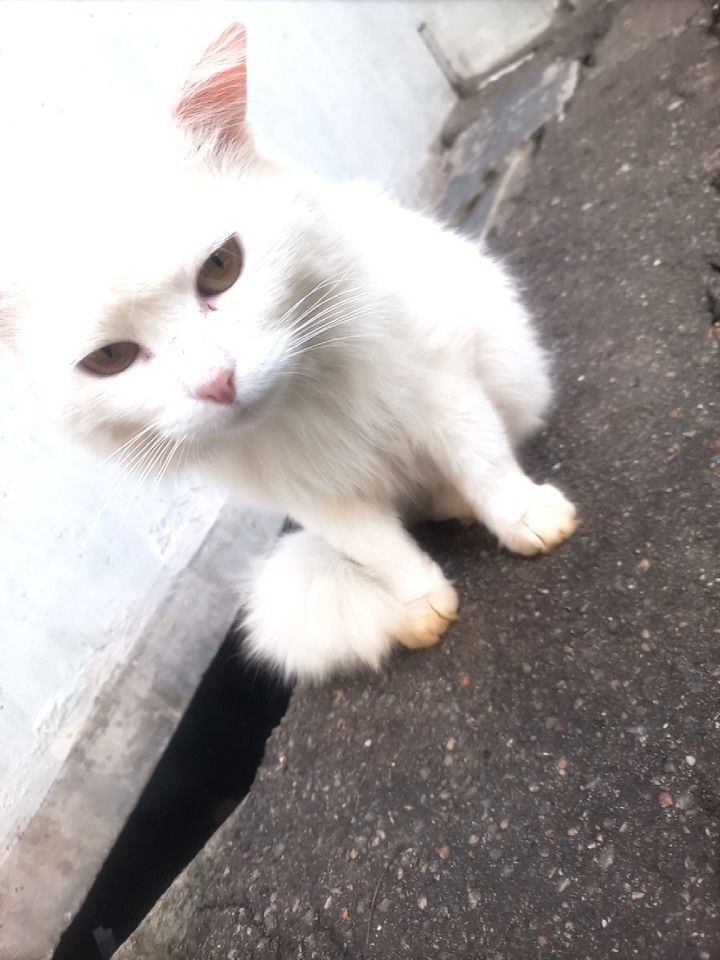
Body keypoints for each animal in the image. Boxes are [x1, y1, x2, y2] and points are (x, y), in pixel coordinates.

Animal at [0, 24, 572, 684]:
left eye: (221, 268)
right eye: (111, 358)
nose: (217, 382)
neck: (301, 400)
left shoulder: (440, 381)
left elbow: (484, 462)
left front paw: (525, 517)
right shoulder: (310, 493)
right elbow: (379, 550)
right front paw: (421, 604)